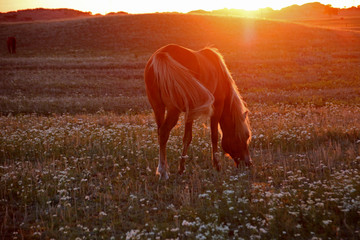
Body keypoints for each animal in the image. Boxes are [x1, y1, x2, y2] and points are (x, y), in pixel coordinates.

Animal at [143, 44, 250, 180]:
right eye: (245, 137)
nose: (248, 164)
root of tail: (161, 55)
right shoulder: (217, 106)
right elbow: (213, 135)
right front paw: (217, 166)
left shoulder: (190, 112)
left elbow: (187, 137)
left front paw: (181, 168)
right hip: (173, 110)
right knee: (163, 132)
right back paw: (163, 172)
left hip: (158, 108)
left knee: (160, 133)